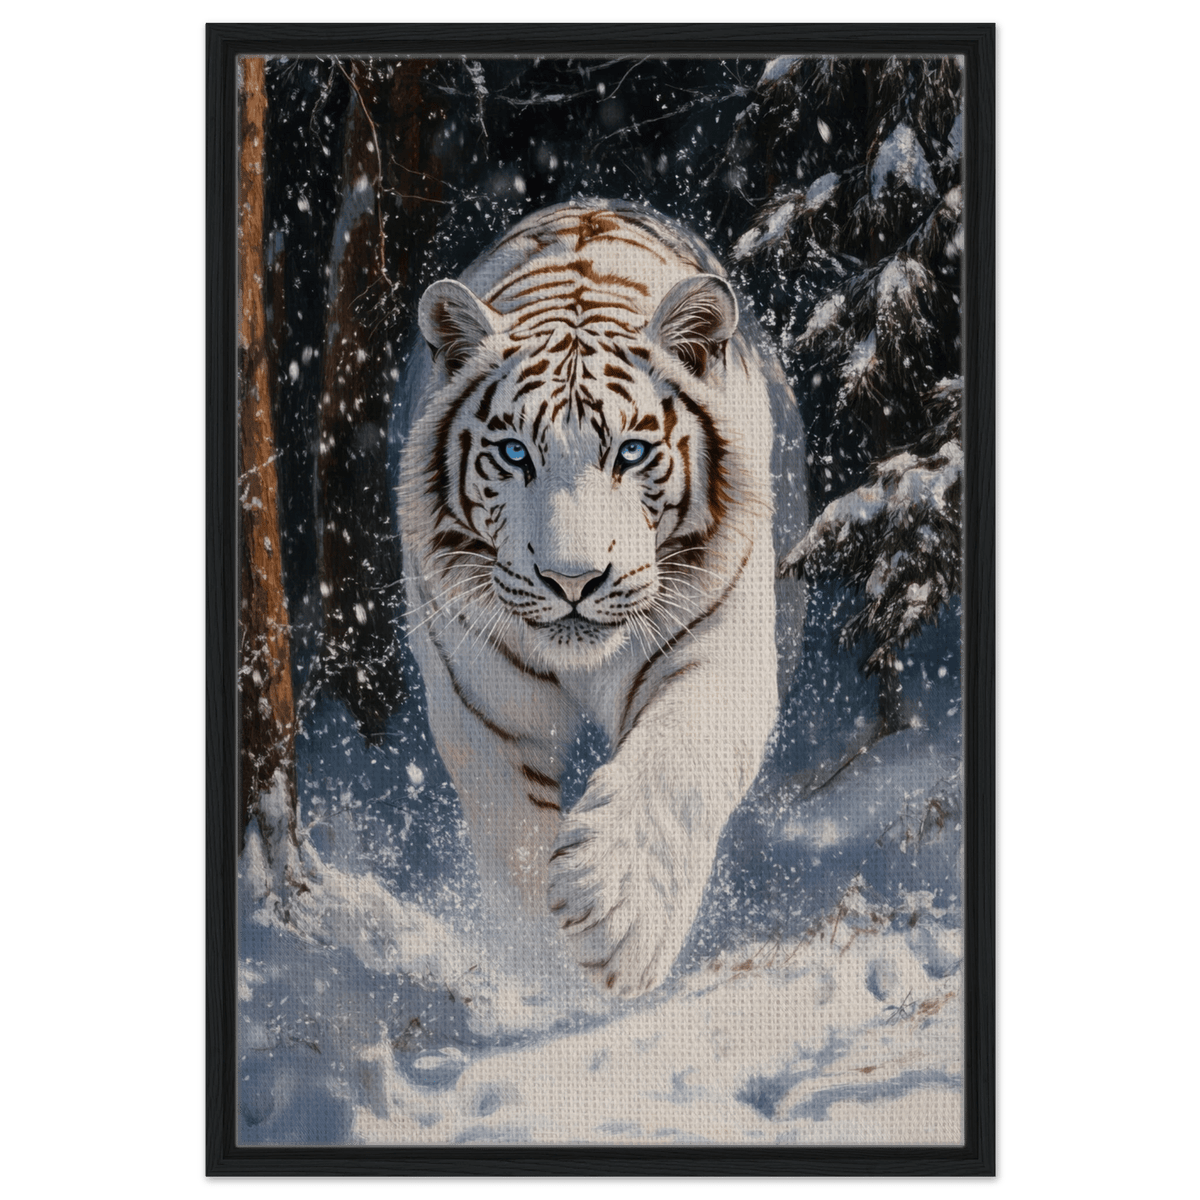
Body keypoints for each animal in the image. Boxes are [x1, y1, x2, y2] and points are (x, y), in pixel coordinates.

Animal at [397, 199, 808, 997]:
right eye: (515, 454)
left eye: (632, 452)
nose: (572, 580)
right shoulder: (481, 700)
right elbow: (512, 839)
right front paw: (546, 971)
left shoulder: (720, 654)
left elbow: (676, 764)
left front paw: (617, 915)